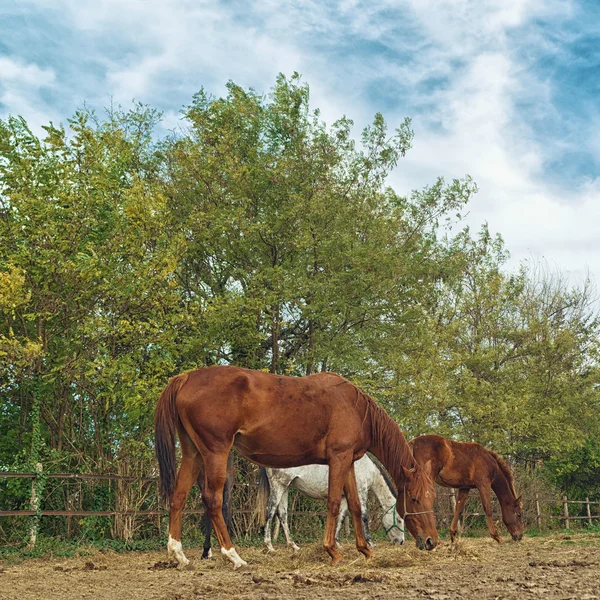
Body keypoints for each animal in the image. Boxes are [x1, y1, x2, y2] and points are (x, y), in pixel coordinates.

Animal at [258, 452, 404, 552]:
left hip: (285, 487)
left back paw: (293, 545)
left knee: (282, 515)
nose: (401, 542)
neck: (365, 467)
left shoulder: (344, 497)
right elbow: (364, 517)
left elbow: (341, 517)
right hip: (278, 486)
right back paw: (269, 546)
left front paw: (337, 543)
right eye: (399, 520)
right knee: (270, 511)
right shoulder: (361, 493)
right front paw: (370, 543)